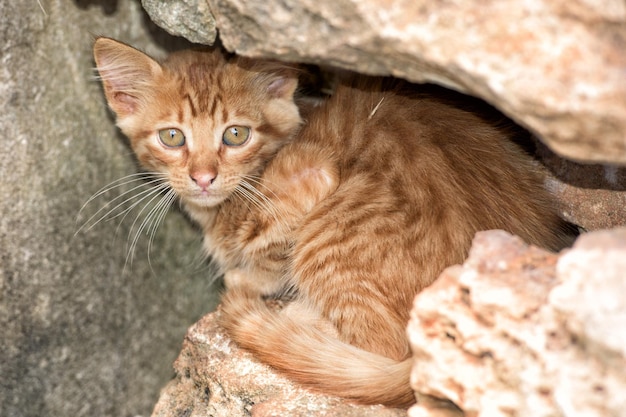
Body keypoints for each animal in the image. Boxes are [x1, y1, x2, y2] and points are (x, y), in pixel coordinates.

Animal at [92, 37, 572, 408]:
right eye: (172, 137)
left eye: (236, 135)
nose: (203, 177)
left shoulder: (314, 177)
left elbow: (267, 254)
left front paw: (249, 276)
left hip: (331, 237)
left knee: (384, 345)